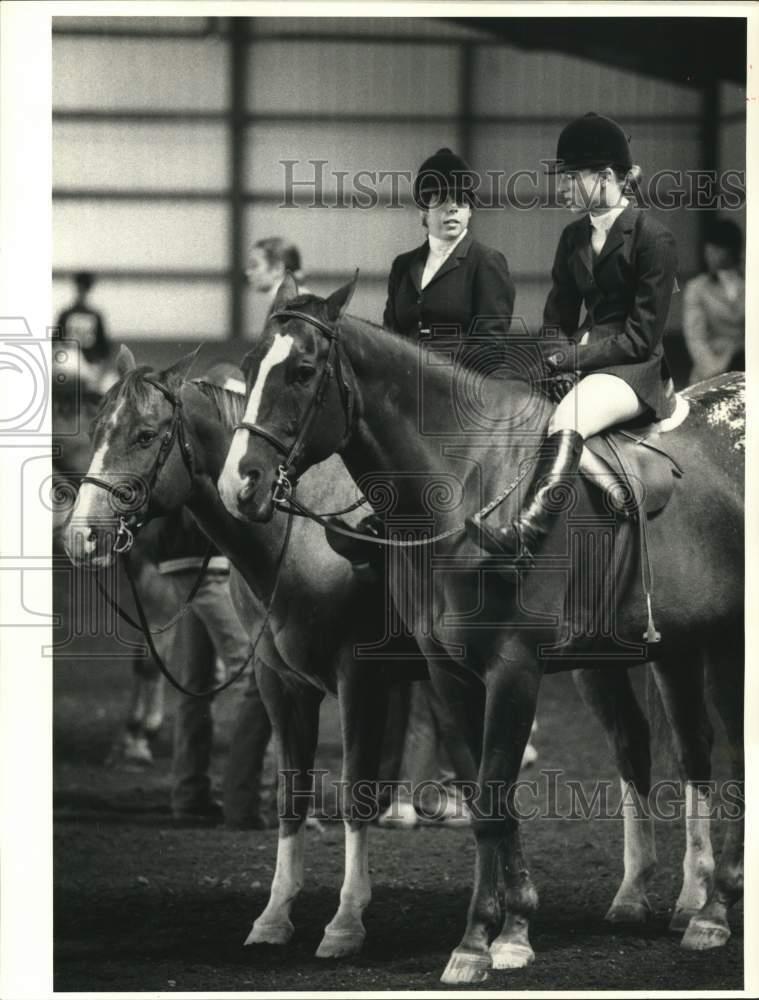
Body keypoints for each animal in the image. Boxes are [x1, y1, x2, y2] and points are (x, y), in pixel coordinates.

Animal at [62, 346, 425, 958]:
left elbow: (354, 790)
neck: (304, 541)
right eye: (96, 430)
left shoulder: (360, 678)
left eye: (145, 435)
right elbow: (288, 794)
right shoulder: (280, 681)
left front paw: (346, 922)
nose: (80, 535)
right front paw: (274, 917)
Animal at [217, 273, 744, 985]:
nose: (237, 485)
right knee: (690, 749)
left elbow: (494, 796)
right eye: (248, 369)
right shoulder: (450, 672)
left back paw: (712, 912)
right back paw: (687, 902)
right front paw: (503, 931)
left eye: (302, 372)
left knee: (729, 755)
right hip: (674, 649)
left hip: (722, 645)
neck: (466, 483)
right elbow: (485, 801)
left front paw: (477, 943)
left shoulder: (514, 668)